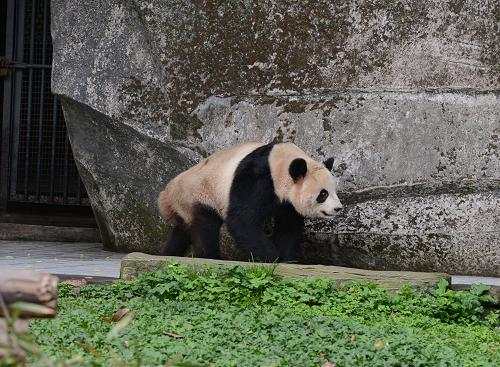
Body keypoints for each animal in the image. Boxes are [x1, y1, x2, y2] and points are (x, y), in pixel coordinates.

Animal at [158, 142, 342, 264]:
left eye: (334, 190)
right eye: (323, 194)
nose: (338, 208)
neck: (280, 163)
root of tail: (166, 194)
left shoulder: (287, 202)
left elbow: (288, 226)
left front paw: (287, 258)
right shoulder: (258, 178)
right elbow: (242, 219)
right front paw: (271, 257)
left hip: (185, 204)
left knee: (182, 231)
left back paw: (168, 253)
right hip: (200, 194)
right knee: (205, 226)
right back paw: (211, 256)